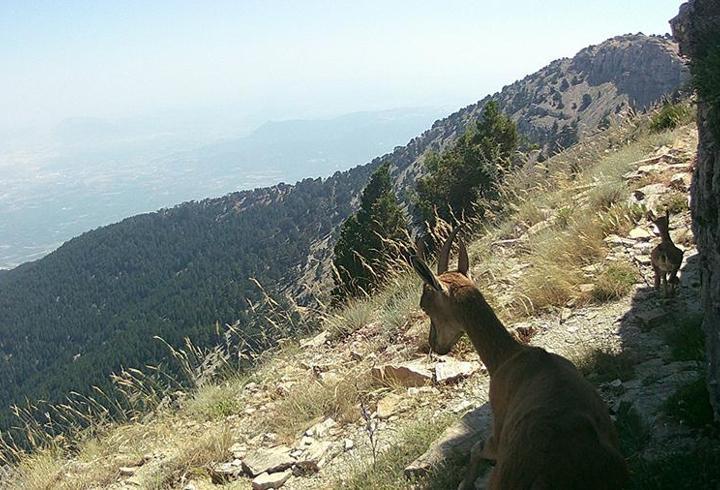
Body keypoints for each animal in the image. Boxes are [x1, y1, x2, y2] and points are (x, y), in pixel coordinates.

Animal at [414, 231, 628, 490]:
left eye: (425, 306)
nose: (435, 345)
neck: (509, 357)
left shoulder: (497, 433)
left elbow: (477, 447)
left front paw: (464, 483)